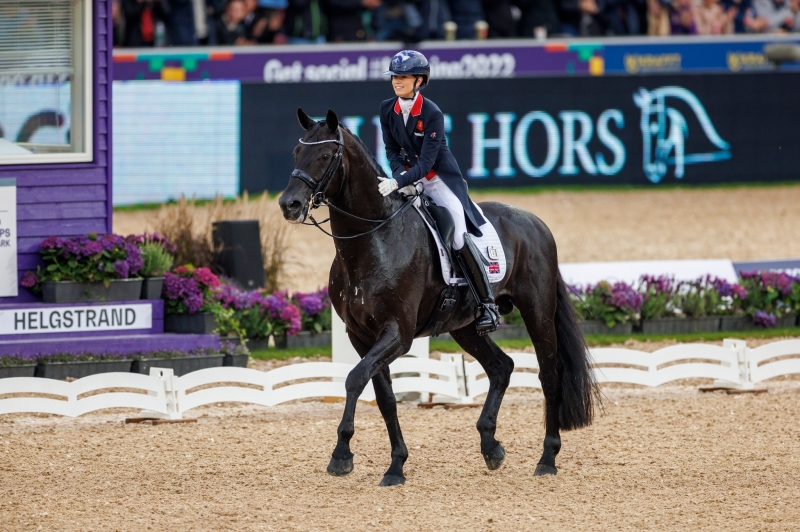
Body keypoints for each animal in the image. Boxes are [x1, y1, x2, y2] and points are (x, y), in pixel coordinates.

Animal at [278, 108, 596, 486]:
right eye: (297, 153)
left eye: (326, 155)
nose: (289, 204)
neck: (373, 240)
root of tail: (535, 222)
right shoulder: (360, 335)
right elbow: (384, 396)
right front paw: (396, 466)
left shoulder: (397, 334)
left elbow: (355, 378)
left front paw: (341, 455)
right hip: (467, 326)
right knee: (501, 367)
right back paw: (491, 446)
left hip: (538, 312)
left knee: (548, 374)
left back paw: (547, 458)